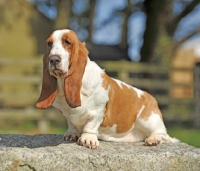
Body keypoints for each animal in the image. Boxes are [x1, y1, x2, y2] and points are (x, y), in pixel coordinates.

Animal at [36, 29, 178, 148]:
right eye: (49, 43)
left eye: (67, 42)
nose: (53, 59)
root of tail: (150, 97)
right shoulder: (66, 114)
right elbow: (71, 123)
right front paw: (72, 134)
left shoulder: (98, 111)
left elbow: (90, 125)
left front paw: (88, 139)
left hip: (148, 121)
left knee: (164, 135)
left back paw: (153, 139)